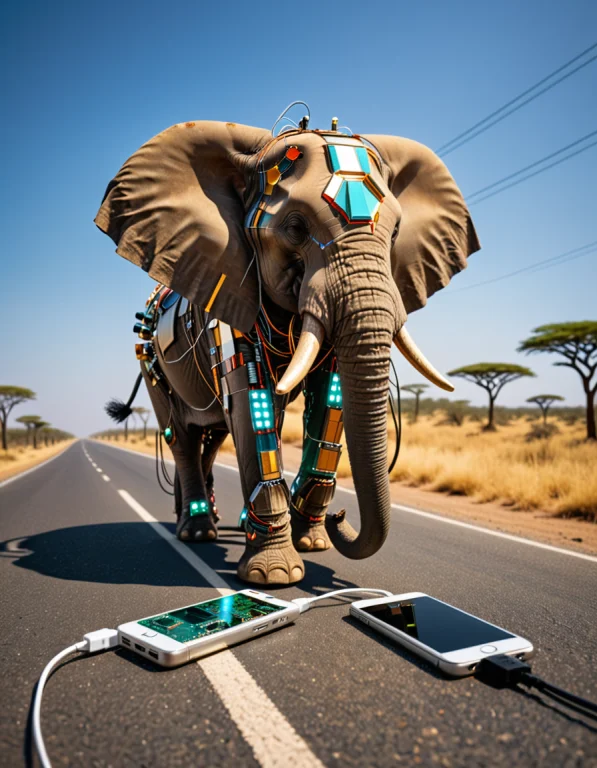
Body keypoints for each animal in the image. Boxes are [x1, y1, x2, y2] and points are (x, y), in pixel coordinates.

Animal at [96, 118, 479, 586]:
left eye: (394, 233)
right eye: (295, 229)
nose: (341, 516)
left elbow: (329, 401)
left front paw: (313, 542)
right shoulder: (230, 300)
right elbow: (251, 407)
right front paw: (275, 575)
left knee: (216, 435)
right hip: (150, 360)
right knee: (183, 437)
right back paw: (198, 530)